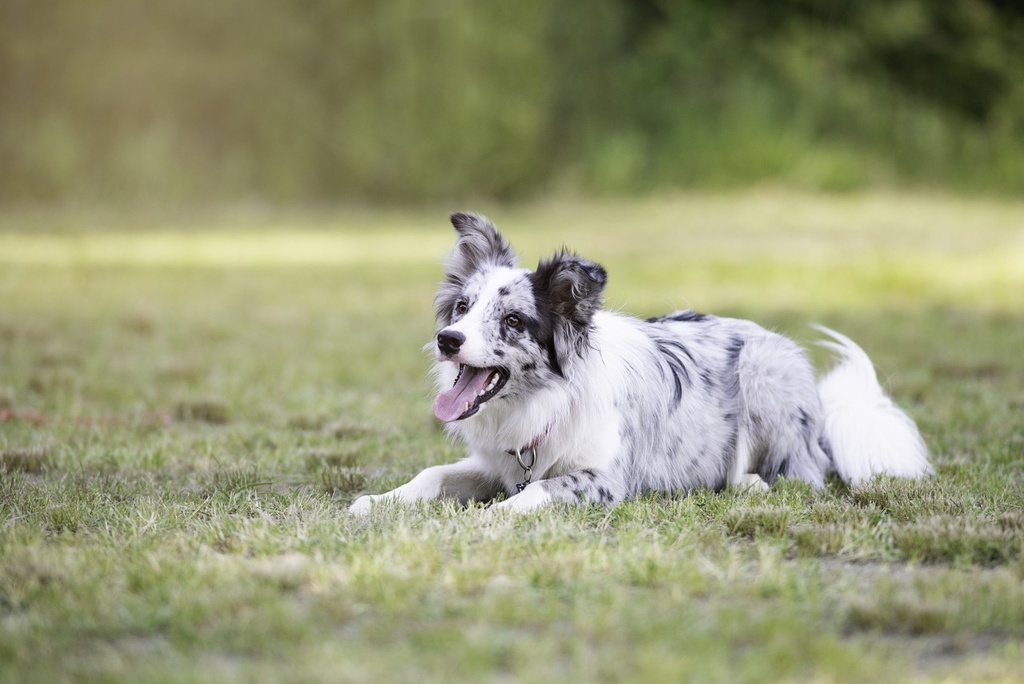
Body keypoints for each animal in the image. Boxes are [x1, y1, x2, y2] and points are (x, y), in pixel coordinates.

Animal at [348, 214, 933, 511]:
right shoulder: (497, 462)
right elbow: (431, 475)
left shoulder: (604, 478)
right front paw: (378, 502)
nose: (447, 340)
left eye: (513, 320)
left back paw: (746, 482)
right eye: (463, 309)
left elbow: (533, 492)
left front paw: (487, 520)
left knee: (803, 475)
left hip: (765, 374)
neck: (548, 399)